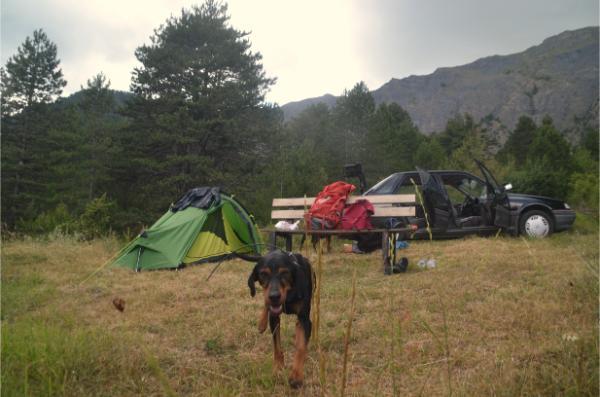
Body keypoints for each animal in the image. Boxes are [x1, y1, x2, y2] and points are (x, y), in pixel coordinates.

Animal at [247, 249, 316, 388]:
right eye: (263, 274)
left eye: (285, 273)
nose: (274, 296)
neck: (288, 295)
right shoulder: (274, 318)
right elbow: (277, 346)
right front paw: (278, 368)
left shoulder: (305, 320)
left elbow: (301, 347)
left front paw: (296, 376)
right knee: (266, 303)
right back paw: (261, 324)